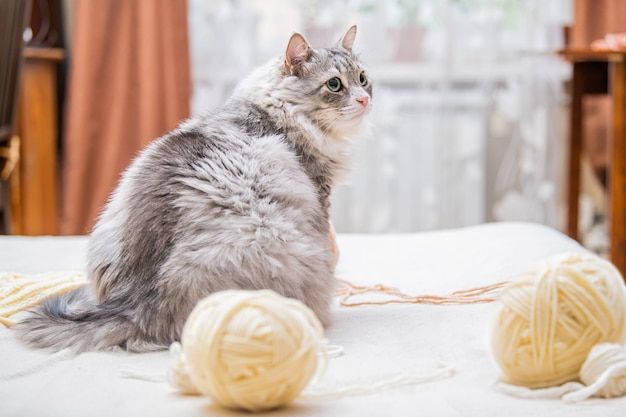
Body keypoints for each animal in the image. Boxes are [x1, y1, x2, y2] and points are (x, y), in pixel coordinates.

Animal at [15, 25, 370, 352]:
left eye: (363, 78)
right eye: (335, 84)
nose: (365, 99)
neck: (277, 111)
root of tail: (134, 306)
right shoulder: (320, 195)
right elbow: (330, 246)